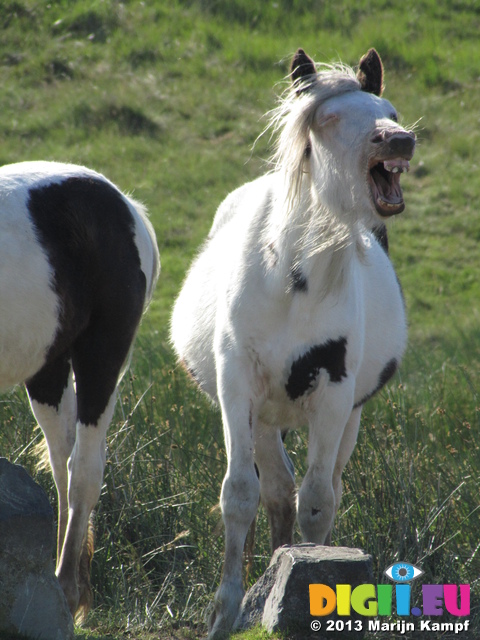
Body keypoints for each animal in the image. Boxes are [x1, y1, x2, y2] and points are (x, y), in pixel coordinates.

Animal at [172, 47, 416, 636]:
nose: (399, 141)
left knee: (309, 491)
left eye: (390, 111)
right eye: (329, 118)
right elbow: (240, 496)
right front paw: (225, 611)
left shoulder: (334, 396)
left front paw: (305, 580)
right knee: (274, 492)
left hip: (344, 416)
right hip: (261, 416)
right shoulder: (237, 388)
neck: (293, 280)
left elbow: (317, 503)